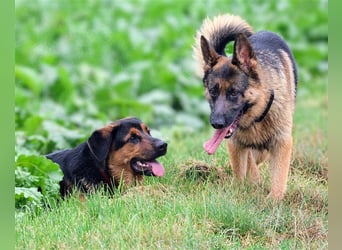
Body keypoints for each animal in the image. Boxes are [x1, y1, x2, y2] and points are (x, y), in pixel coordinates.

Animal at [194, 14, 298, 201]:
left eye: (234, 93)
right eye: (213, 91)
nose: (216, 124)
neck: (257, 118)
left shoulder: (282, 143)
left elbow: (279, 178)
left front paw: (273, 201)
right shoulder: (235, 144)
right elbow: (241, 172)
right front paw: (244, 187)